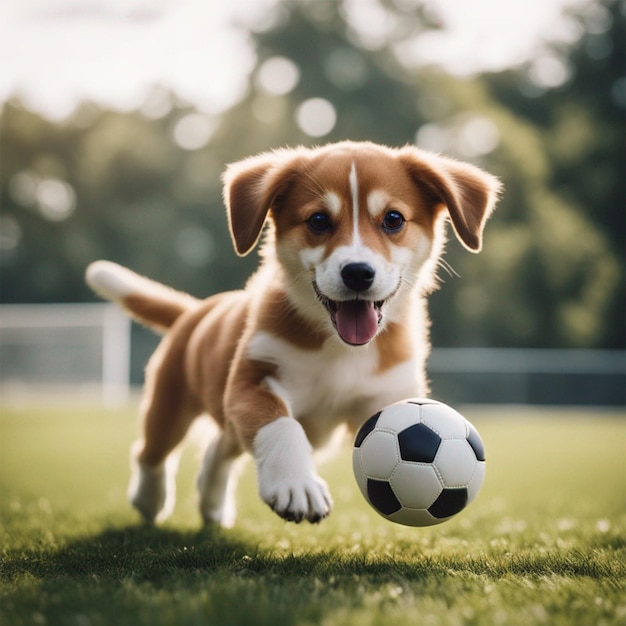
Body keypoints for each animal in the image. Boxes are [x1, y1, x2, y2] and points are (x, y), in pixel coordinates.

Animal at [85, 139, 500, 524]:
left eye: (393, 219)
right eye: (318, 220)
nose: (358, 273)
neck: (339, 349)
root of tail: (195, 311)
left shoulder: (387, 396)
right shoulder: (250, 381)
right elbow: (280, 424)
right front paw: (296, 485)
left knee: (219, 447)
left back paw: (212, 506)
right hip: (169, 402)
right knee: (152, 452)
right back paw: (150, 500)